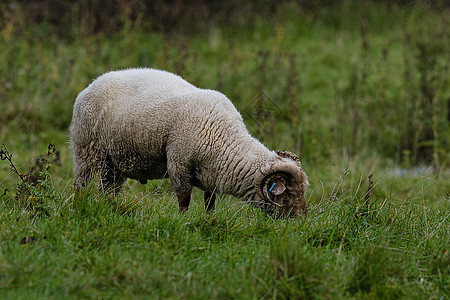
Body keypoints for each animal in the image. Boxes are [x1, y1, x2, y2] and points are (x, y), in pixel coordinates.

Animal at [69, 68, 310, 217]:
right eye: (290, 194)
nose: (300, 221)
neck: (224, 137)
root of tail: (90, 86)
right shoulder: (178, 164)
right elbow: (184, 200)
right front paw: (183, 221)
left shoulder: (211, 174)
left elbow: (209, 202)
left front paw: (209, 220)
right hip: (87, 151)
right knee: (80, 184)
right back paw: (78, 205)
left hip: (114, 163)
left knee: (108, 189)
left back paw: (110, 208)